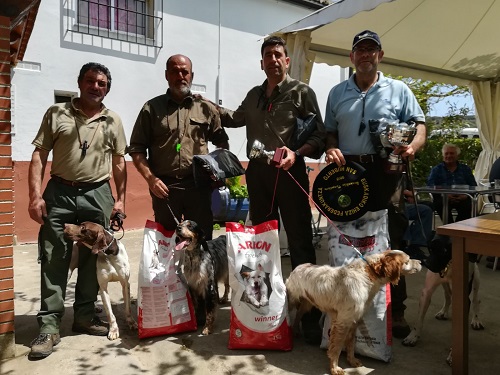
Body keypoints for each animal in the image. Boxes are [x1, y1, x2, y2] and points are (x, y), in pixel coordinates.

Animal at [286, 250, 422, 375]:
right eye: (408, 260)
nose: (421, 262)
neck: (368, 275)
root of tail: (299, 267)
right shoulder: (342, 322)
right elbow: (336, 348)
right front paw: (335, 368)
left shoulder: (354, 320)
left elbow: (351, 344)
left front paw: (352, 360)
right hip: (292, 300)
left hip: (306, 304)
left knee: (298, 314)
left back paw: (296, 330)